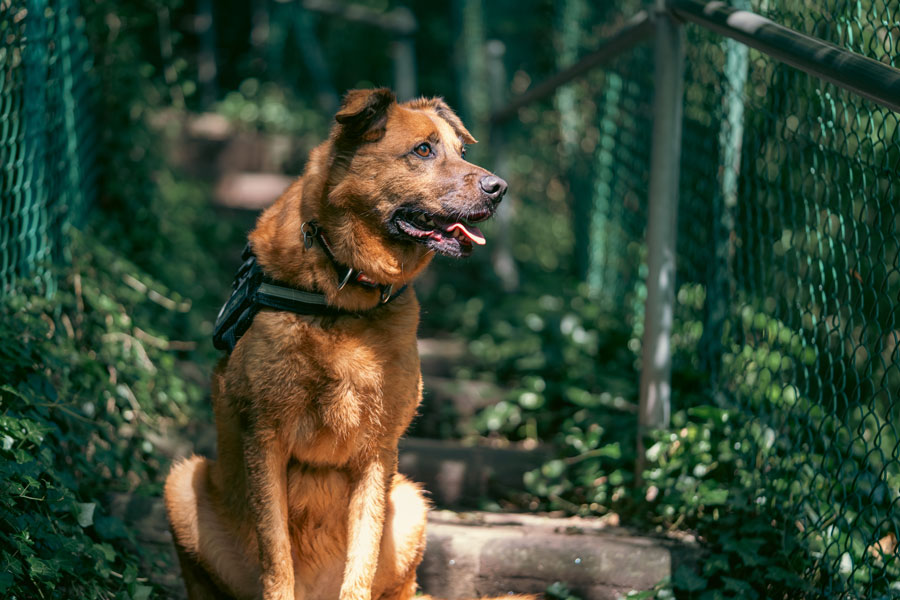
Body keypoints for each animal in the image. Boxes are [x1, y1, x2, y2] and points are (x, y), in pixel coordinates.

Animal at [166, 90, 528, 600]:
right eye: (423, 150)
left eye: (461, 150)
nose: (501, 187)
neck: (343, 292)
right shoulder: (265, 438)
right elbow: (276, 560)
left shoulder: (376, 453)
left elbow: (362, 560)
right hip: (181, 483)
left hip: (411, 501)